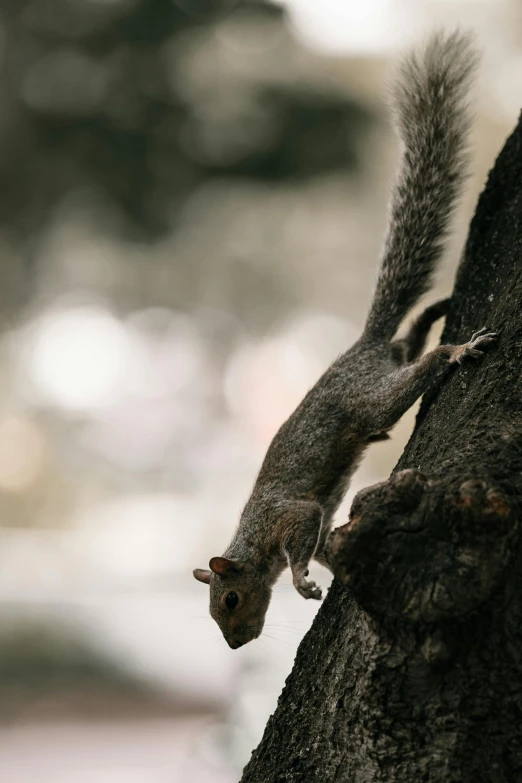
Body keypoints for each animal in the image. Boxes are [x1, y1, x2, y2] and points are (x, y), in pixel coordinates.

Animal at [193, 30, 494, 648]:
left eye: (230, 599)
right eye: (214, 613)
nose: (236, 643)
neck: (253, 537)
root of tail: (362, 345)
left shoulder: (292, 516)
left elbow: (304, 541)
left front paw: (303, 582)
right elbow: (328, 546)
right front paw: (322, 575)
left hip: (367, 400)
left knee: (416, 368)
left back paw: (457, 349)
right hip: (385, 366)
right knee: (408, 339)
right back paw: (435, 312)